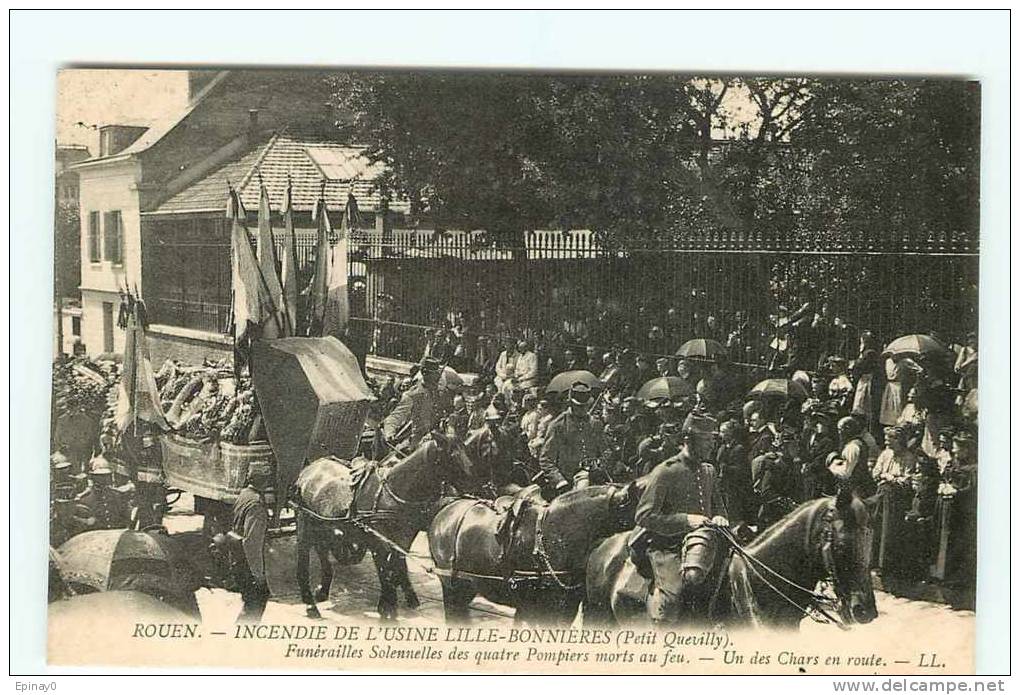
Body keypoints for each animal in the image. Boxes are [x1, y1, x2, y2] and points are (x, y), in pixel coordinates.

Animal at [291, 430, 473, 620]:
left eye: (466, 449)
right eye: (451, 454)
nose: (473, 480)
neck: (392, 493)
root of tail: (310, 468)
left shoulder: (403, 539)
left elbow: (397, 564)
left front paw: (401, 599)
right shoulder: (377, 539)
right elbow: (384, 570)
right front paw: (388, 608)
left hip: (324, 525)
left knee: (322, 551)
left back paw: (322, 591)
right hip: (304, 521)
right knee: (303, 562)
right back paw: (310, 605)